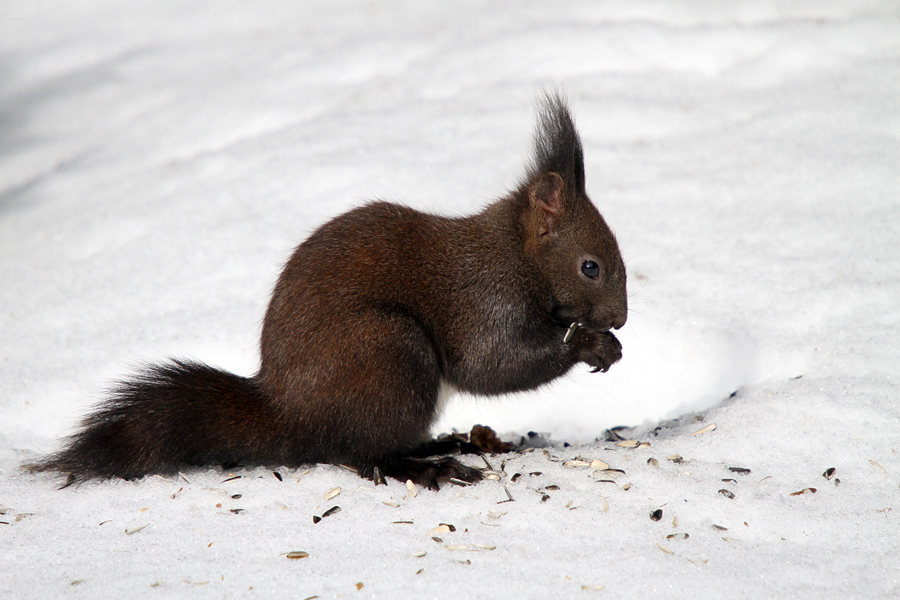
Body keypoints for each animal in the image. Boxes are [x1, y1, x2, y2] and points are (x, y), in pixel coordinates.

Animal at [31, 92, 628, 488]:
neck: (514, 256)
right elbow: (491, 364)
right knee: (360, 453)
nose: (619, 319)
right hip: (389, 354)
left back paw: (443, 441)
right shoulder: (483, 301)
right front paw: (589, 344)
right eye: (591, 267)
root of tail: (291, 413)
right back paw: (428, 466)